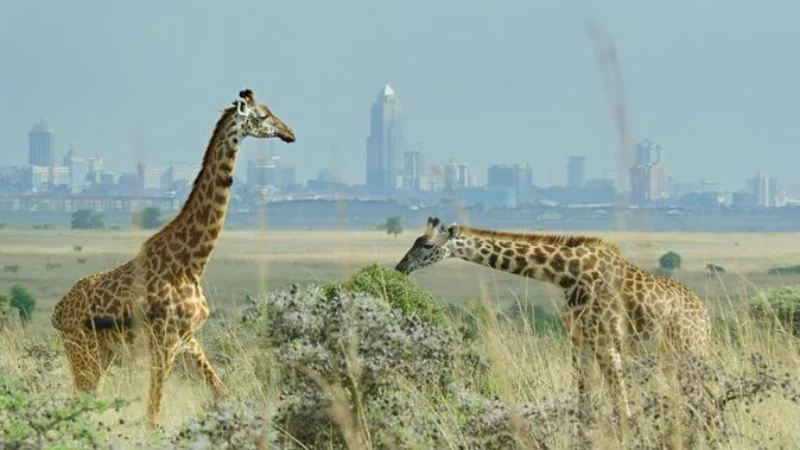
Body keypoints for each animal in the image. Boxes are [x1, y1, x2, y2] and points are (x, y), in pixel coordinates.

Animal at [52, 89, 296, 428]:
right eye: (262, 116)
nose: (290, 133)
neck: (192, 263)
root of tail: (57, 312)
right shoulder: (164, 344)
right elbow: (153, 416)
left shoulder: (188, 341)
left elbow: (223, 393)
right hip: (82, 349)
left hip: (103, 351)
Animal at [394, 218, 712, 432]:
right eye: (414, 241)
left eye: (427, 244)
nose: (400, 267)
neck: (567, 274)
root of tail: (706, 319)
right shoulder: (579, 339)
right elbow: (584, 397)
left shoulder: (605, 340)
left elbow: (619, 400)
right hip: (672, 354)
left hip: (689, 349)